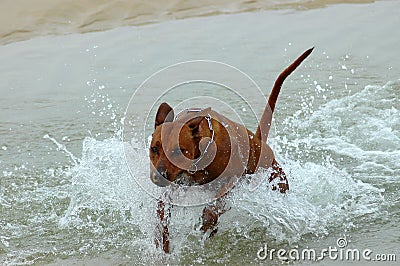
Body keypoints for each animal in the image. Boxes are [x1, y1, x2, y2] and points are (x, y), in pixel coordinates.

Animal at [149, 47, 312, 254]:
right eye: (154, 148)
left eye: (179, 151)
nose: (158, 177)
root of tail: (258, 140)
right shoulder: (176, 184)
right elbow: (162, 211)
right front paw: (162, 240)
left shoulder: (232, 179)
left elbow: (214, 208)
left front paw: (207, 221)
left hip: (275, 177)